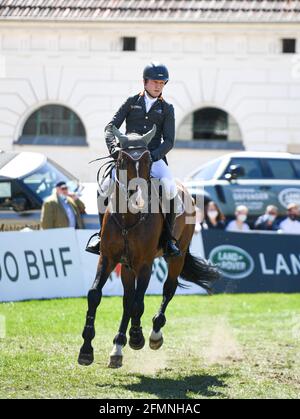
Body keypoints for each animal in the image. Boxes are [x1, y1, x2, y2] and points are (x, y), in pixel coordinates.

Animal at [77, 126, 219, 370]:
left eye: (148, 161)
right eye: (121, 160)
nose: (138, 199)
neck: (128, 218)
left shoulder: (145, 264)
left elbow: (138, 303)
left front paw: (137, 337)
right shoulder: (108, 258)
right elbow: (96, 295)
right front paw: (86, 350)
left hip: (177, 256)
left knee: (168, 289)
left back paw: (153, 334)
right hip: (126, 265)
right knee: (127, 299)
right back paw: (117, 347)